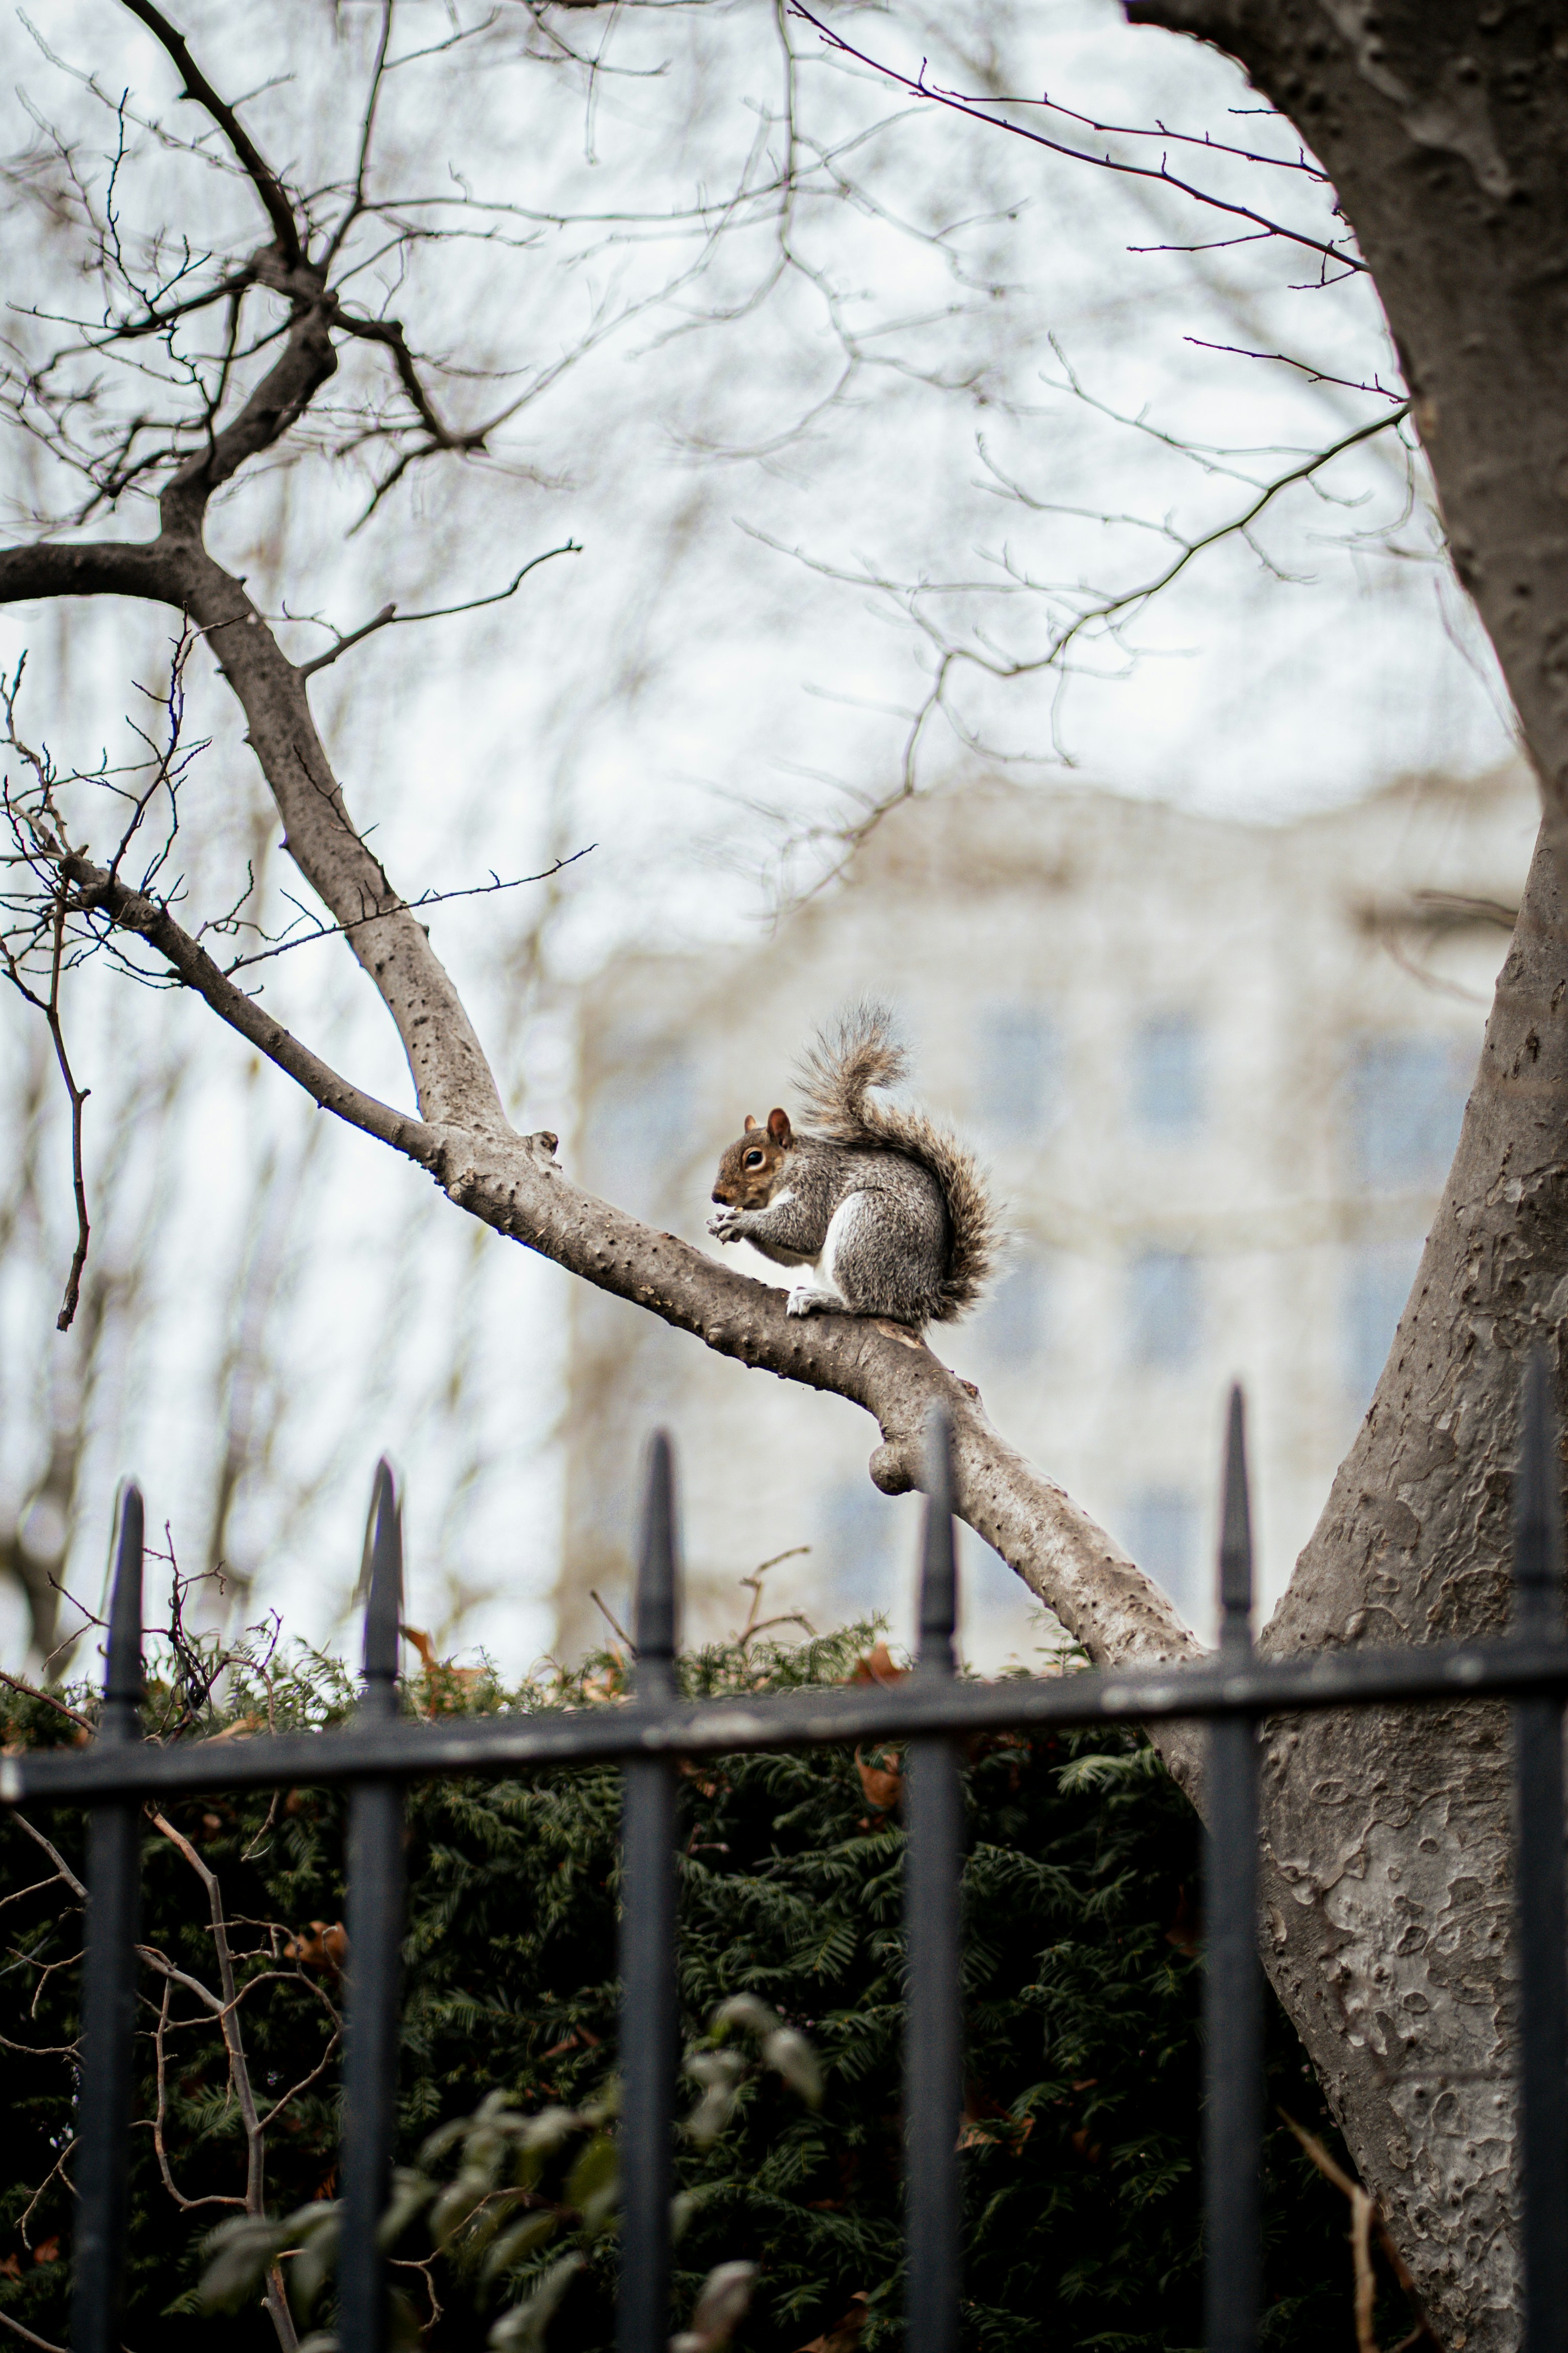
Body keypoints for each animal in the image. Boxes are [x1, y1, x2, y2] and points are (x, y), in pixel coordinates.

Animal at [706, 1002, 999, 1331]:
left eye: (754, 1159)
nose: (717, 1196)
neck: (791, 1167)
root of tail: (923, 1298)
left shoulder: (816, 1186)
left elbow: (801, 1230)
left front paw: (740, 1221)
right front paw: (723, 1222)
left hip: (867, 1226)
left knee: (866, 1303)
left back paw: (820, 1298)